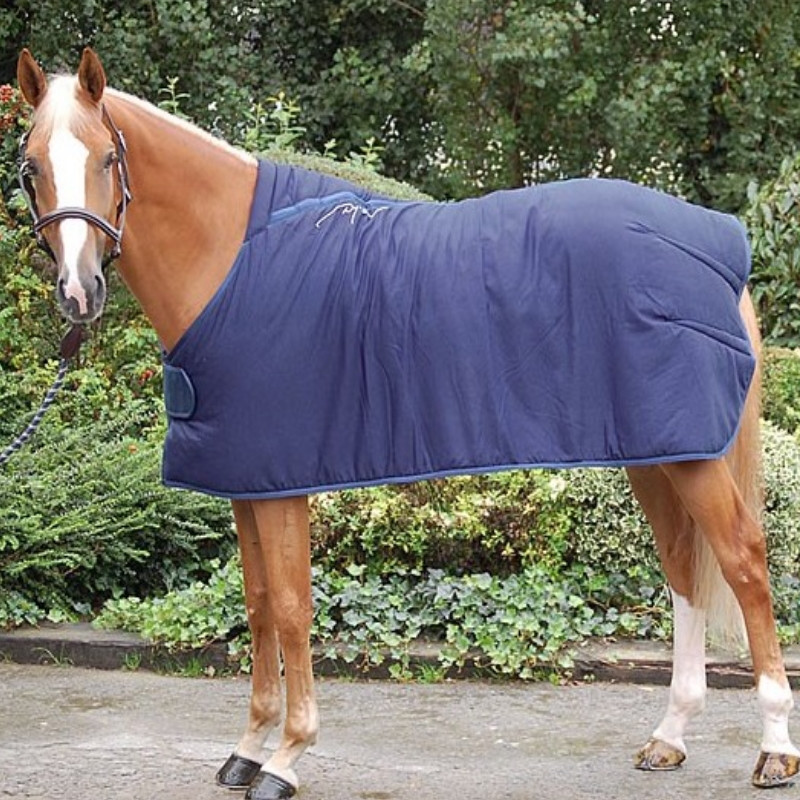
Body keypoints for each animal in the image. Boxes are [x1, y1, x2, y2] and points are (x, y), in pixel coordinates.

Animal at [14, 47, 799, 799]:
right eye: (30, 169)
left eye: (107, 159)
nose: (79, 292)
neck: (234, 254)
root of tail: (719, 247)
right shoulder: (246, 478)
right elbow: (260, 605)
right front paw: (248, 748)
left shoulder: (282, 481)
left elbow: (293, 608)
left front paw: (287, 757)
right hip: (657, 451)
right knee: (684, 569)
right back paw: (669, 737)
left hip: (692, 458)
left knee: (744, 563)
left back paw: (773, 751)